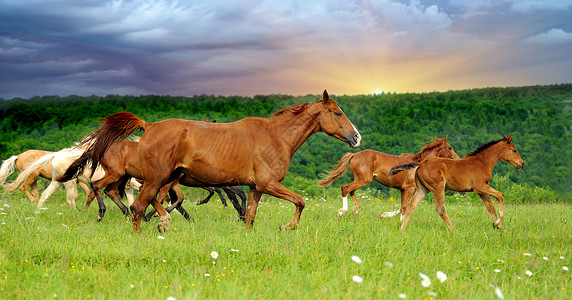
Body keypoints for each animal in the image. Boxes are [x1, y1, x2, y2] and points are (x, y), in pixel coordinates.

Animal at [65, 89, 360, 232]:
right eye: (336, 113)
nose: (356, 137)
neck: (275, 136)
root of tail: (149, 126)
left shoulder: (255, 188)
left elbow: (249, 216)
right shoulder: (269, 184)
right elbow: (300, 202)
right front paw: (288, 227)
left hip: (165, 179)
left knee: (148, 202)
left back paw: (162, 222)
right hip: (156, 179)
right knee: (136, 206)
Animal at [320, 136, 458, 218]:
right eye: (450, 147)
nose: (457, 158)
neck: (417, 164)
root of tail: (354, 155)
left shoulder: (402, 189)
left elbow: (402, 207)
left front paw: (384, 215)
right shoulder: (410, 188)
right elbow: (405, 207)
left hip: (360, 179)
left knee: (351, 190)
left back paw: (356, 210)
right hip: (363, 179)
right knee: (345, 188)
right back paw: (342, 211)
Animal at [392, 135, 524, 231]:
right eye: (514, 150)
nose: (522, 164)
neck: (482, 162)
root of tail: (421, 164)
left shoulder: (481, 191)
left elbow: (490, 207)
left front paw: (500, 228)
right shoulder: (480, 187)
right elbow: (500, 195)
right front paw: (497, 223)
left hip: (423, 189)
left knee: (412, 205)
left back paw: (402, 229)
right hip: (438, 187)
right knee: (440, 209)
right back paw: (453, 229)